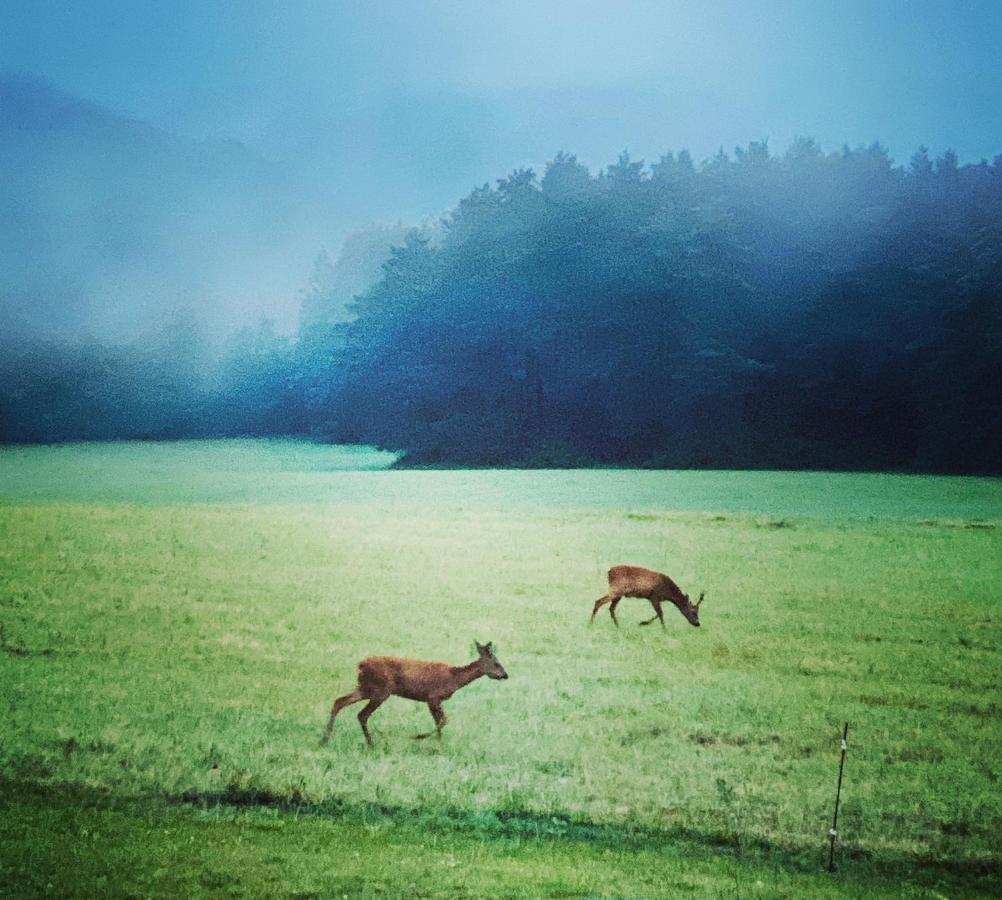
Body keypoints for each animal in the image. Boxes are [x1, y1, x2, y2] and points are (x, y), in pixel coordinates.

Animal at [320, 641, 509, 745]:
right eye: (496, 663)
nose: (506, 675)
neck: (454, 679)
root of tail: (361, 664)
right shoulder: (433, 697)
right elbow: (444, 720)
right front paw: (419, 737)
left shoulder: (432, 700)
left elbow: (439, 721)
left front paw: (439, 743)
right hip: (380, 690)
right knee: (362, 714)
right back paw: (370, 743)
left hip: (365, 688)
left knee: (339, 701)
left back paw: (326, 739)